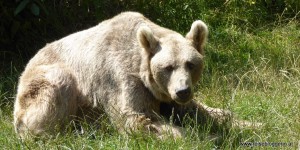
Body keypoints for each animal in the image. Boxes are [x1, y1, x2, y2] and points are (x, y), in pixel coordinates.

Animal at [13, 11, 239, 139]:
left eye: (190, 64)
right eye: (168, 67)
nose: (182, 91)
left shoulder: (167, 96)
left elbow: (203, 111)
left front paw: (241, 123)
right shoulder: (122, 78)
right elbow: (135, 118)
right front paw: (207, 136)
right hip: (42, 83)